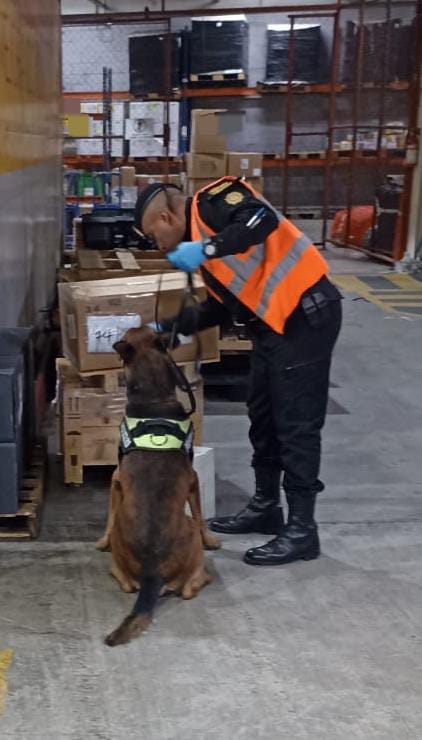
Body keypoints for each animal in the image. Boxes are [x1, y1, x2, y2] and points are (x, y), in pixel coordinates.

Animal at [96, 326, 221, 644]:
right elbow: (201, 516)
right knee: (188, 588)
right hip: (188, 534)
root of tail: (152, 572)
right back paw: (205, 576)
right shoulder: (192, 478)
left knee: (126, 581)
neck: (152, 397)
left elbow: (110, 515)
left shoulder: (116, 478)